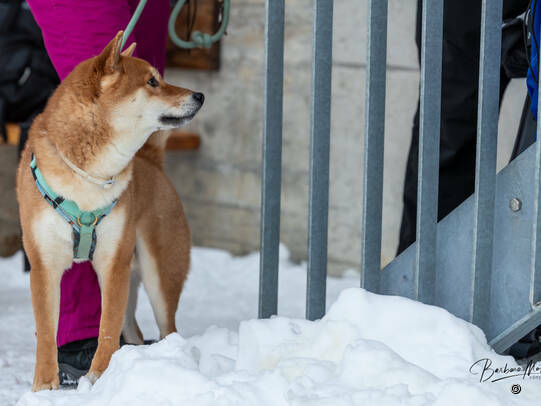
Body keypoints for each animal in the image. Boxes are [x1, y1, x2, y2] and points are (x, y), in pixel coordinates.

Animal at [16, 31, 202, 391]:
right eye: (152, 81)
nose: (199, 95)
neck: (87, 177)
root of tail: (151, 163)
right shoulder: (44, 264)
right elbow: (46, 332)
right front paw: (44, 385)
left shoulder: (113, 262)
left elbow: (106, 328)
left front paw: (99, 376)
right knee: (134, 330)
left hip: (158, 274)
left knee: (166, 328)